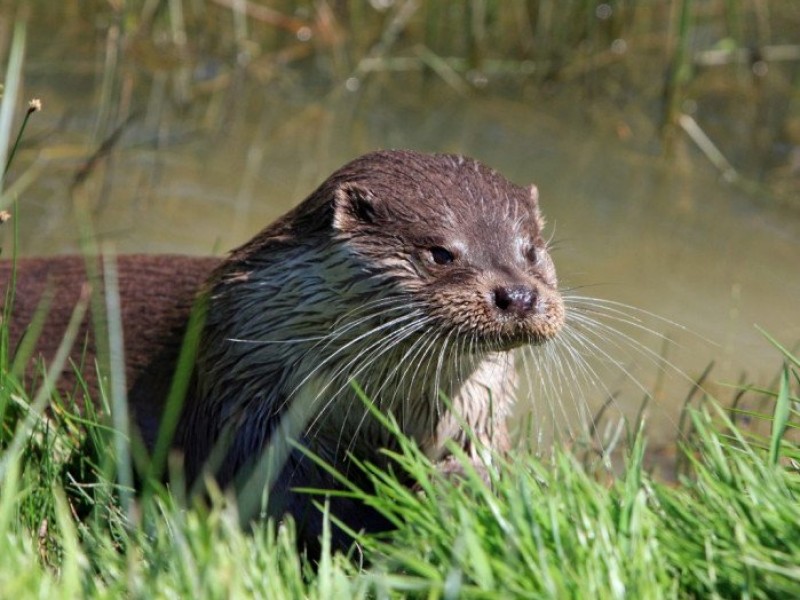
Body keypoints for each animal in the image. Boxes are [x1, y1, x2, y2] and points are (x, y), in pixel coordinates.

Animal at [1, 149, 564, 548]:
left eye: (530, 251)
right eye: (441, 253)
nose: (518, 295)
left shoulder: (477, 412)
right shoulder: (247, 403)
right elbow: (283, 496)